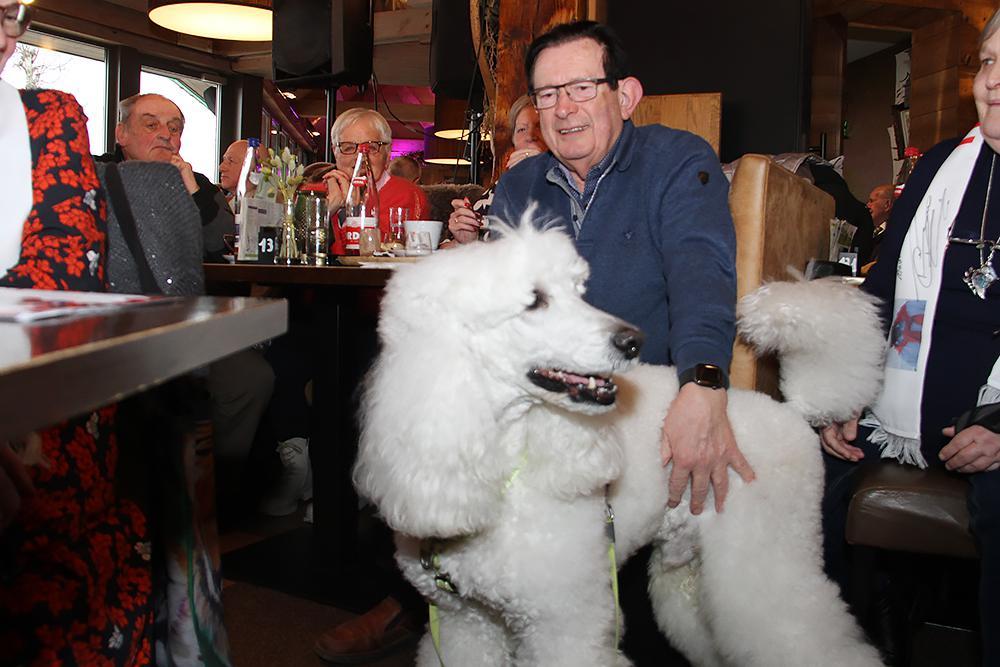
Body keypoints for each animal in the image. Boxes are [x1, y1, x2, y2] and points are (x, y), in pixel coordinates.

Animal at [354, 222, 886, 666]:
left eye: (577, 293)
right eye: (535, 301)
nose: (632, 341)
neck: (503, 467)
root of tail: (795, 411)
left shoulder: (565, 623)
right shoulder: (466, 623)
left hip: (772, 559)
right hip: (690, 574)